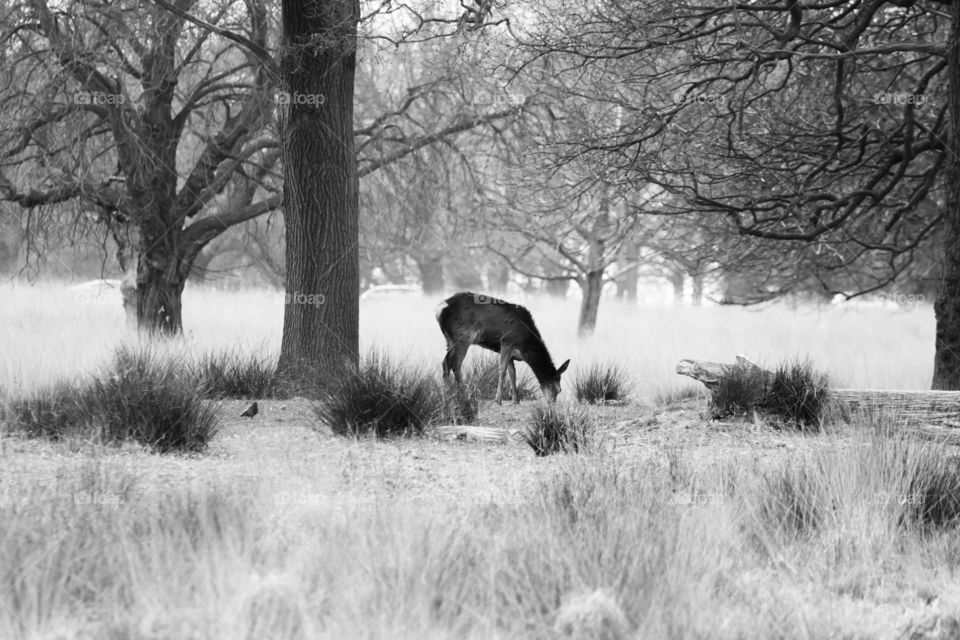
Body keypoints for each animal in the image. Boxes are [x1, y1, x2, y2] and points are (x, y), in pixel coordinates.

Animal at [436, 292, 568, 402]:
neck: (526, 349)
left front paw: (516, 400)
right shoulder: (506, 342)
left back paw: (447, 393)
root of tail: (440, 309)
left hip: (450, 339)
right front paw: (498, 399)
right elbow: (502, 370)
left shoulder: (511, 353)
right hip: (463, 337)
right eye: (558, 389)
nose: (551, 404)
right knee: (456, 364)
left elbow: (513, 373)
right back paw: (462, 393)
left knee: (445, 362)